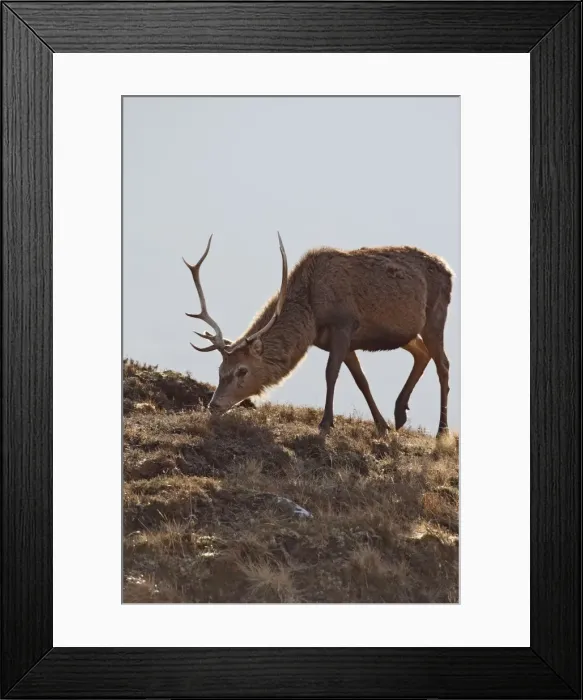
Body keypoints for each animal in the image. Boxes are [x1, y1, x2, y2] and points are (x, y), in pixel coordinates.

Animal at [182, 233, 453, 438]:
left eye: (242, 370)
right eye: (220, 370)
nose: (214, 405)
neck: (311, 317)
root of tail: (449, 271)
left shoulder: (344, 323)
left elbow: (331, 373)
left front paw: (325, 424)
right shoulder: (343, 341)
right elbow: (361, 380)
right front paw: (381, 425)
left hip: (436, 314)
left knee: (443, 364)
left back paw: (442, 432)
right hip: (407, 332)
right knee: (422, 353)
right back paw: (399, 413)